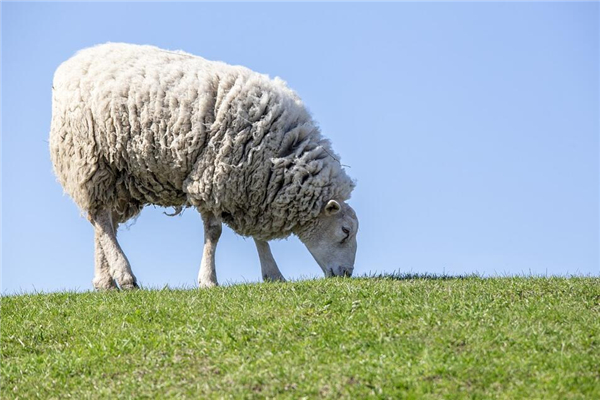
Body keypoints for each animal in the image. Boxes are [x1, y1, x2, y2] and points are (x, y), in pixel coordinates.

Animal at [49, 42, 358, 290]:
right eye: (345, 231)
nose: (346, 274)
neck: (279, 153)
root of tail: (71, 63)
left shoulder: (251, 188)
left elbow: (258, 237)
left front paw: (273, 274)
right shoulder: (214, 177)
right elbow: (214, 233)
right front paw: (208, 279)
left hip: (119, 175)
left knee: (104, 223)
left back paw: (105, 281)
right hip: (89, 158)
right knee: (101, 219)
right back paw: (125, 277)